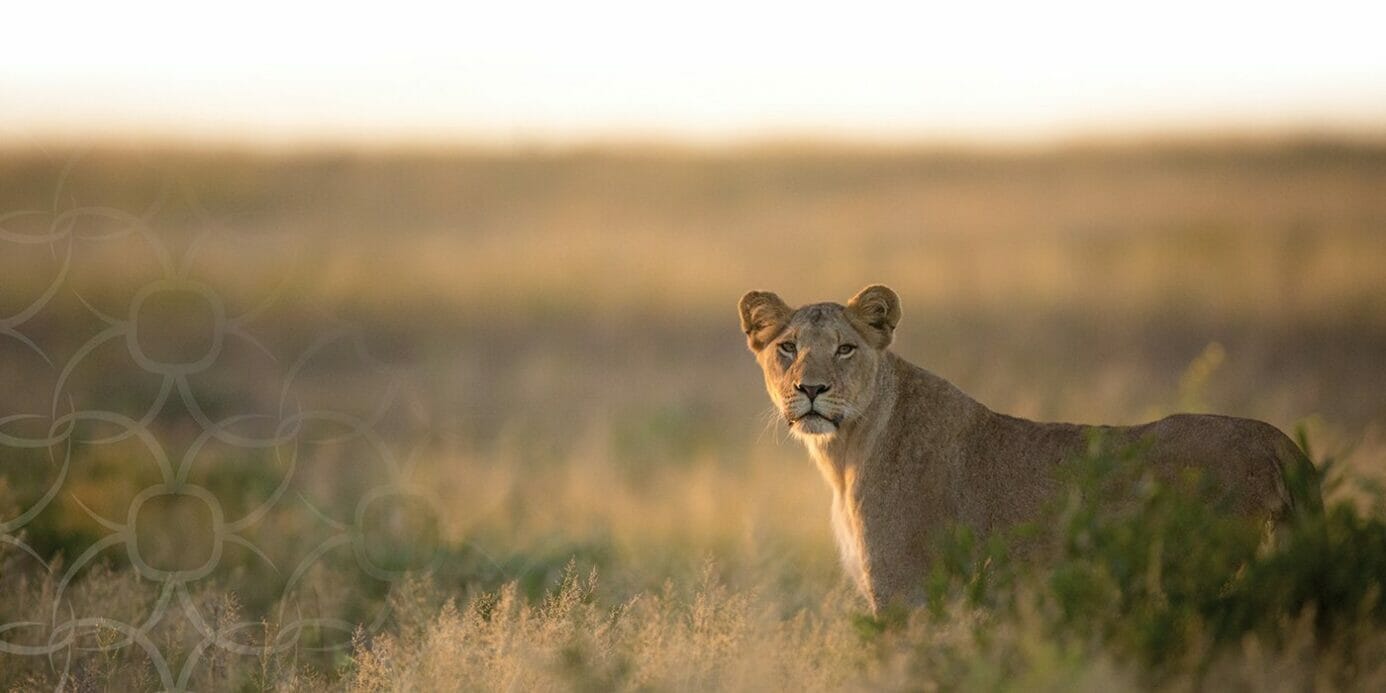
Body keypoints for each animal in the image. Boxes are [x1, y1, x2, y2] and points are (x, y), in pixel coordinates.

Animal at [738, 284, 1317, 613]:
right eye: (787, 347)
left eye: (845, 348)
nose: (811, 389)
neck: (845, 453)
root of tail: (1277, 439)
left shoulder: (905, 591)